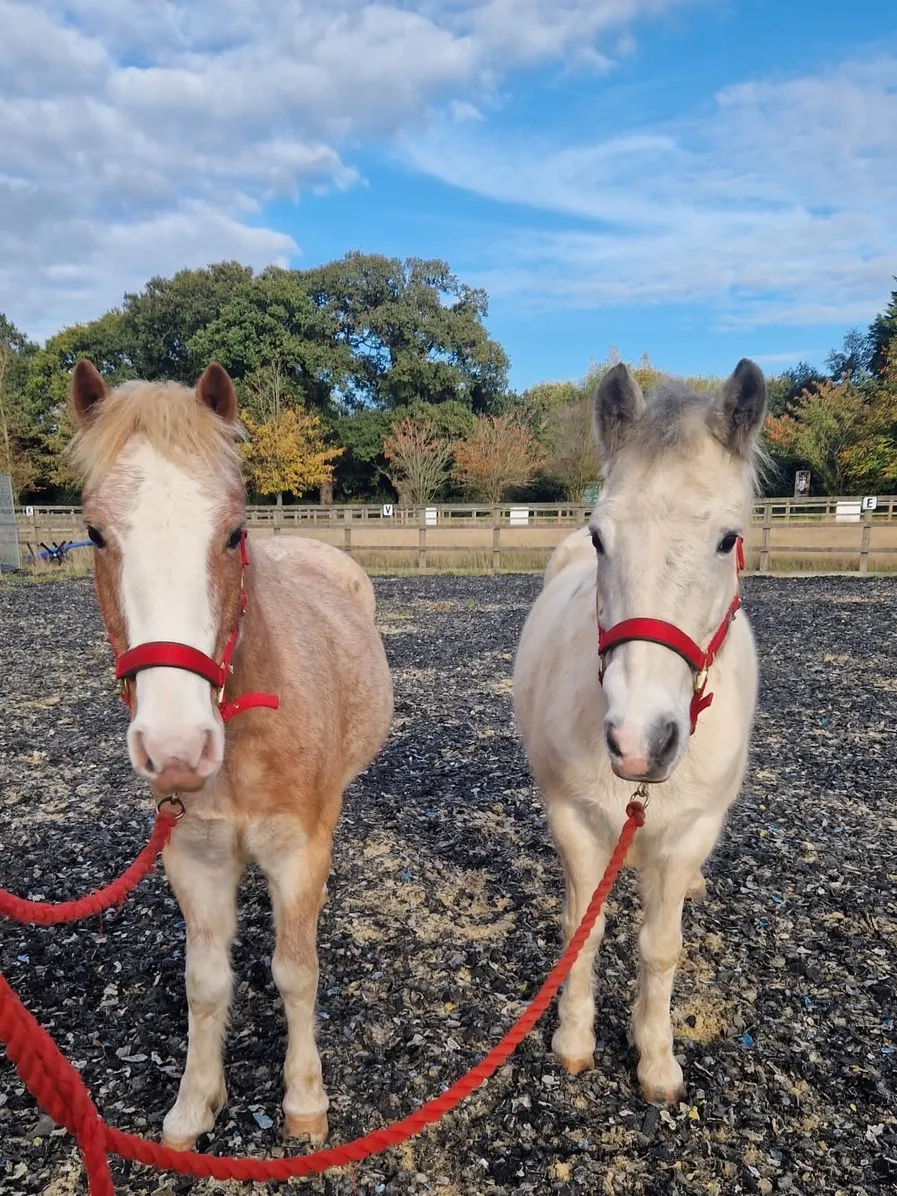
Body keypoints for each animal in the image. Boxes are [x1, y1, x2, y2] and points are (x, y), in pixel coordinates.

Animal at [69, 360, 393, 1151]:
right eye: (93, 533)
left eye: (232, 533)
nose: (177, 748)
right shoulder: (193, 856)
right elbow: (206, 982)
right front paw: (195, 1104)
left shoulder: (298, 852)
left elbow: (295, 971)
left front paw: (304, 1101)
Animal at [512, 359, 766, 1104]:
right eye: (601, 537)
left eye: (727, 539)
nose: (637, 742)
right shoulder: (573, 818)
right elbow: (583, 930)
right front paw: (573, 1041)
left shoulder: (688, 831)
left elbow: (659, 947)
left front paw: (655, 1060)